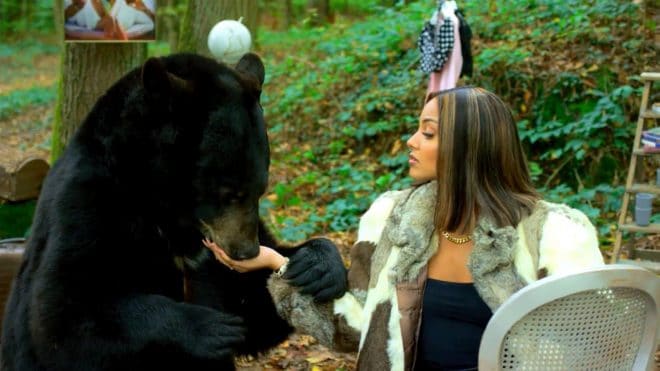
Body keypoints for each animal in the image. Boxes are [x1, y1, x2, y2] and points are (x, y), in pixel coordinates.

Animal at [0, 53, 348, 371]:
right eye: (228, 191)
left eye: (260, 189)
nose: (246, 252)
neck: (165, 209)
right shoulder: (88, 205)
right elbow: (62, 316)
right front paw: (211, 328)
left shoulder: (209, 256)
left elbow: (255, 310)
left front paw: (316, 266)